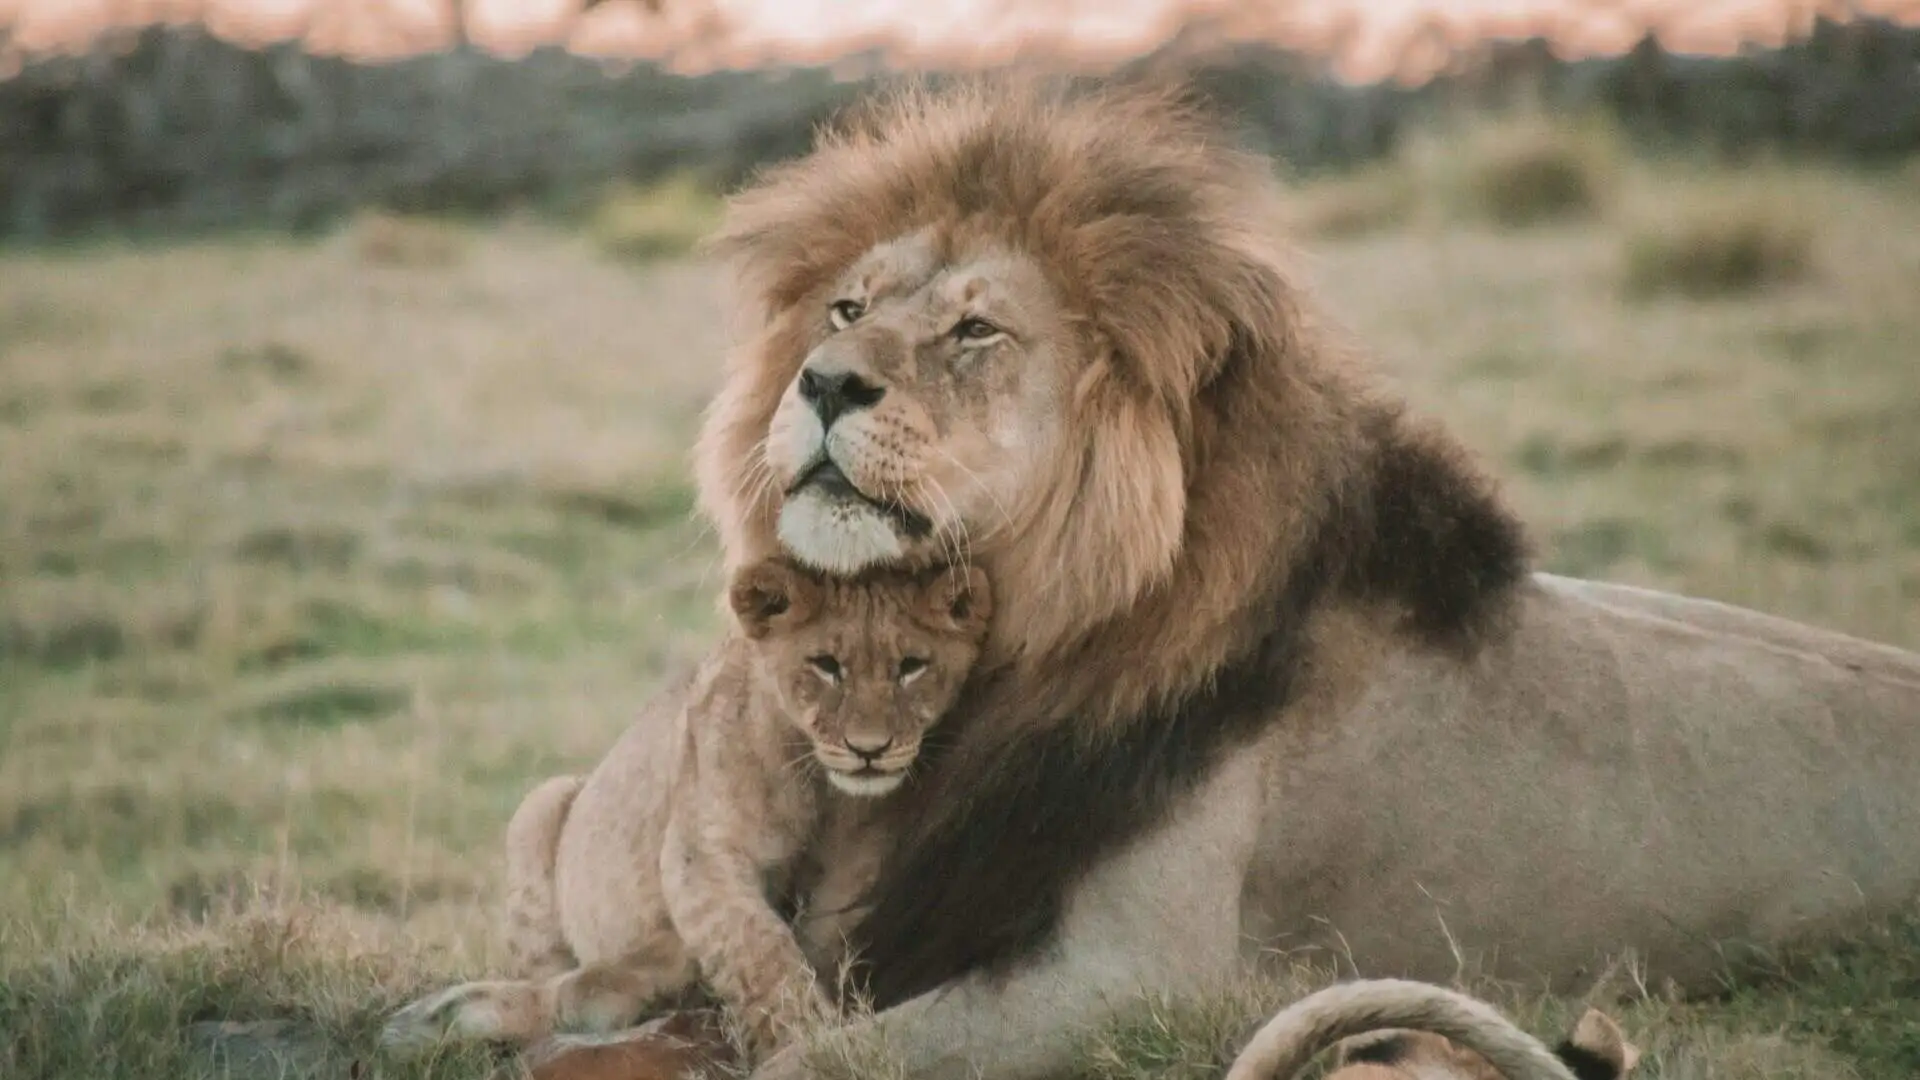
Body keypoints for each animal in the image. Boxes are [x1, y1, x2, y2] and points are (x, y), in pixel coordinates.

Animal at [683, 79, 1912, 1068]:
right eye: (847, 308)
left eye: (976, 331)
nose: (822, 381)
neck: (1020, 644)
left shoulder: (1134, 977)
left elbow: (812, 1060)